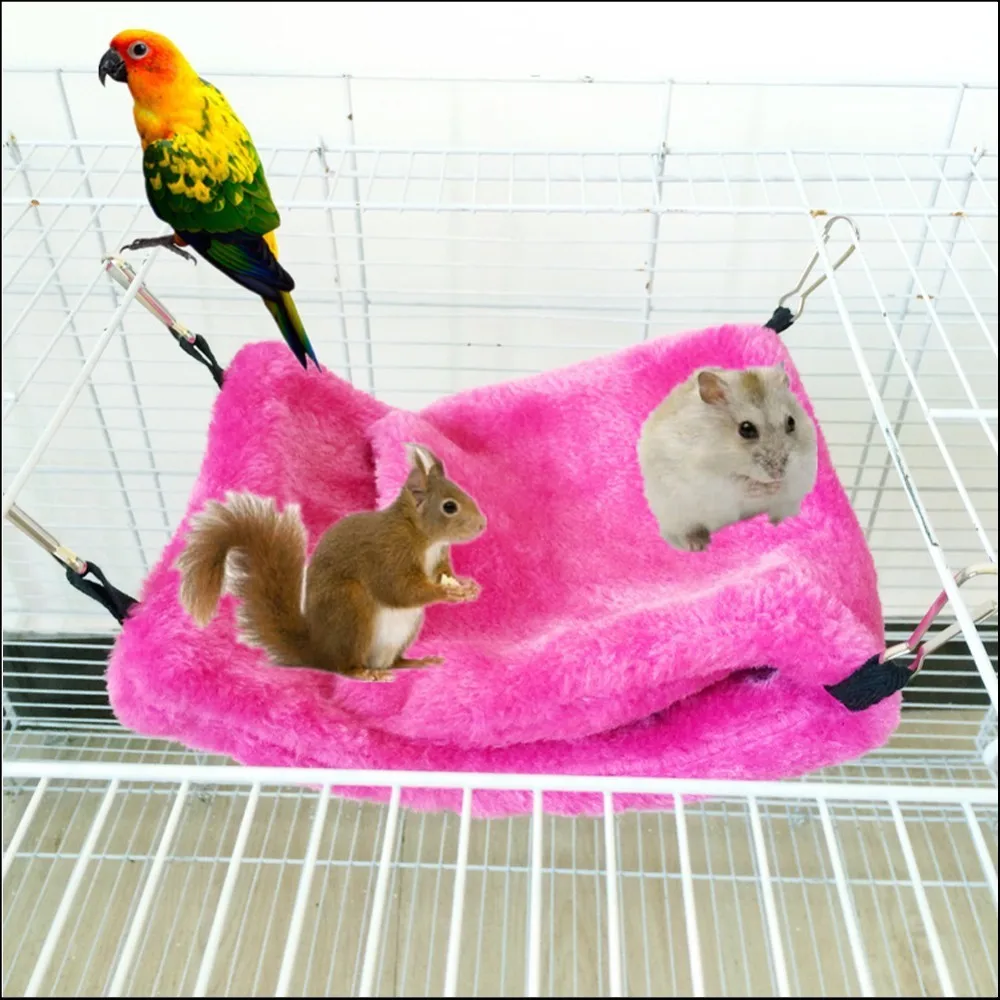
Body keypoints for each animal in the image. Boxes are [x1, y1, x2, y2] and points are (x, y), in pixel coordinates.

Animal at [176, 444, 487, 682]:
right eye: (449, 506)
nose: (483, 524)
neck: (425, 538)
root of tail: (318, 651)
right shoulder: (387, 553)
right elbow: (398, 589)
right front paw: (446, 592)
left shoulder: (438, 559)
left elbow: (442, 573)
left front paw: (467, 586)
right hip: (351, 609)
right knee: (344, 666)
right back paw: (365, 673)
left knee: (393, 661)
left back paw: (415, 662)